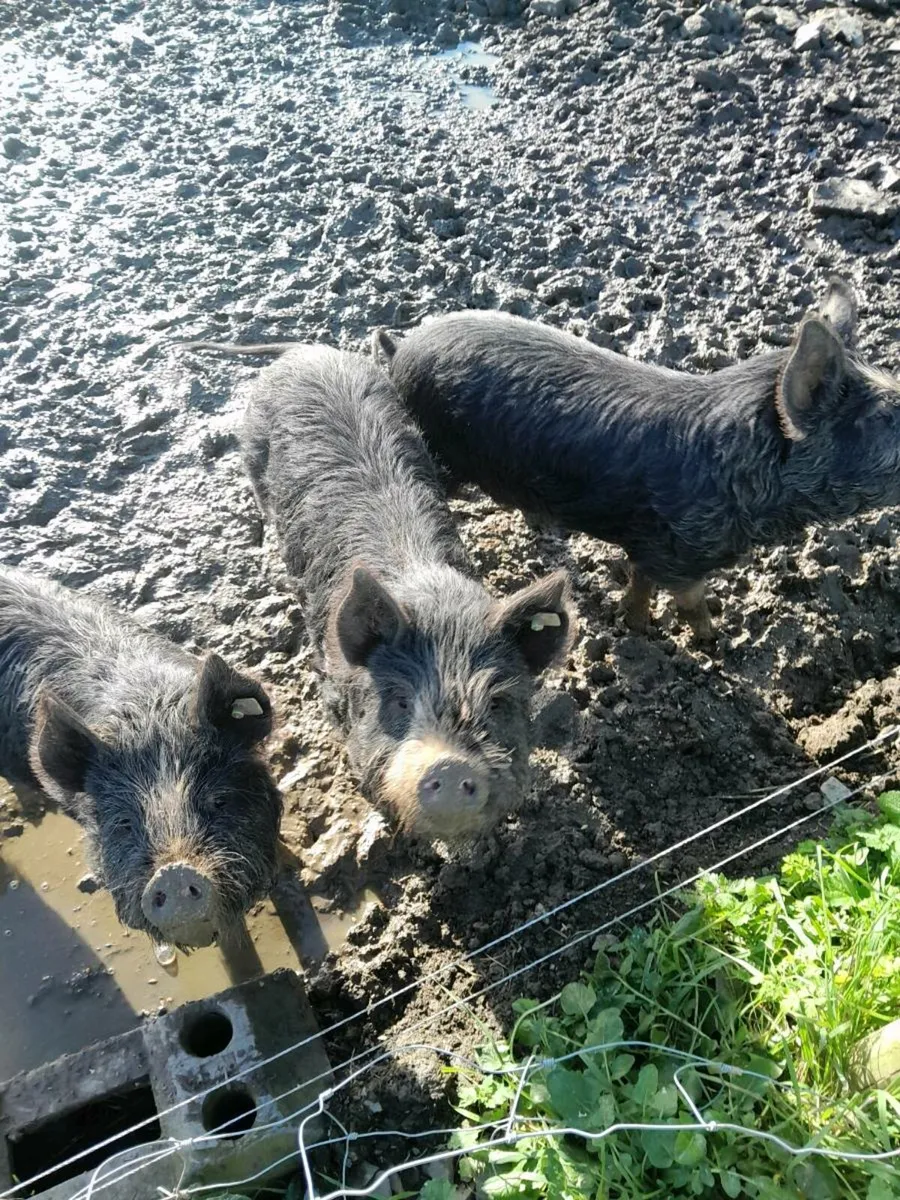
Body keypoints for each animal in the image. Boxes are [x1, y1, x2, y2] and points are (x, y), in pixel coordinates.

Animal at [375, 279, 900, 640]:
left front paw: (637, 625)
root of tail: (400, 348)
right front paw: (715, 641)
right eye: (888, 418)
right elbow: (689, 602)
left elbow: (640, 583)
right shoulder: (681, 553)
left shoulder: (652, 543)